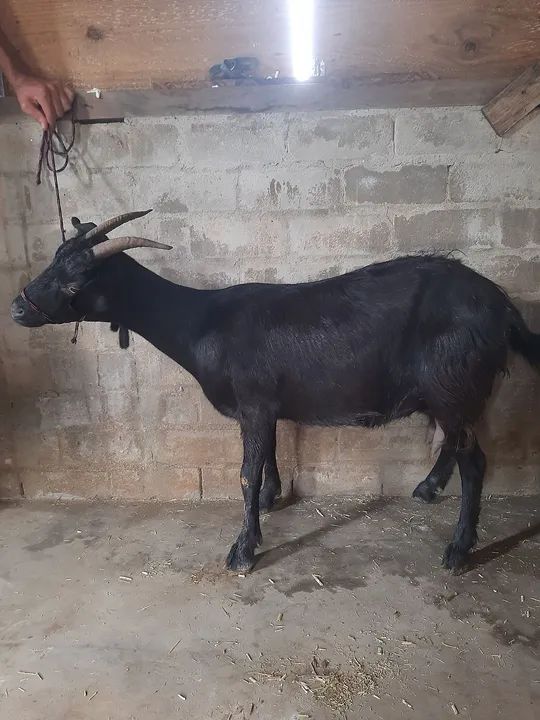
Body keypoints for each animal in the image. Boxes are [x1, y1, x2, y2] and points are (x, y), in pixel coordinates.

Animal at [11, 211, 540, 573]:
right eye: (54, 260)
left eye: (77, 280)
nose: (17, 307)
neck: (201, 324)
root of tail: (502, 306)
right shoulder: (264, 406)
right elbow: (268, 455)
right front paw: (271, 499)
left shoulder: (254, 402)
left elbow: (246, 472)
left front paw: (243, 549)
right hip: (446, 393)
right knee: (453, 442)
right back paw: (428, 489)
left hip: (455, 384)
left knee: (475, 460)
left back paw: (459, 550)